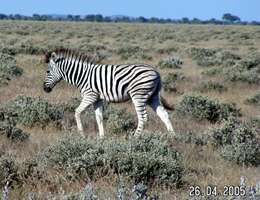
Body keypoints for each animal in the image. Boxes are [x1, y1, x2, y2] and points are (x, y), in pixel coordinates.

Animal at [43, 49, 175, 138]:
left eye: (47, 71)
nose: (45, 89)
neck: (82, 76)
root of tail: (156, 72)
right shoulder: (97, 99)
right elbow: (99, 117)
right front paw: (102, 137)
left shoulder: (90, 96)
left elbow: (77, 112)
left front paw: (81, 134)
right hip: (152, 96)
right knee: (164, 114)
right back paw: (173, 137)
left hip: (139, 95)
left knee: (143, 117)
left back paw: (135, 138)